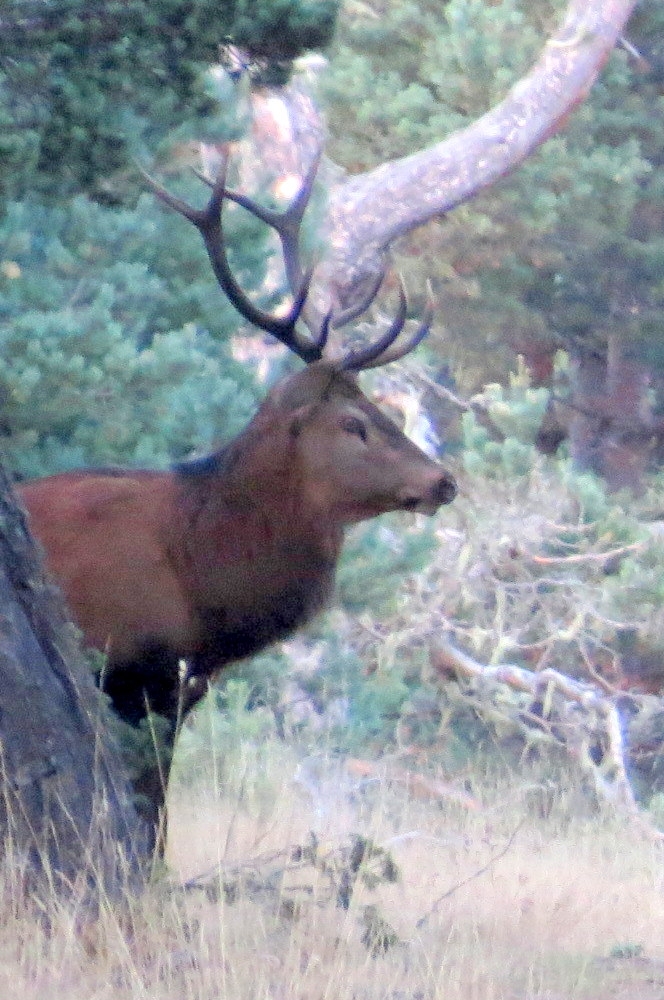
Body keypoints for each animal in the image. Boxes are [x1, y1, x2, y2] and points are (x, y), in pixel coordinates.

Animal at [19, 152, 456, 848]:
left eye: (382, 410)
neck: (203, 585)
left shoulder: (184, 685)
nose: (444, 481)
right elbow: (150, 813)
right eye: (354, 424)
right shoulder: (131, 673)